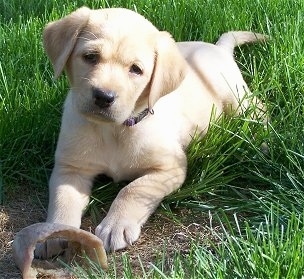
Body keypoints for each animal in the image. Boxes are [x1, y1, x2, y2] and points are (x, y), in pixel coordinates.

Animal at [38, 6, 266, 256]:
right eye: (91, 57)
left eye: (136, 69)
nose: (103, 97)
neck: (114, 130)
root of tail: (217, 48)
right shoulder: (70, 168)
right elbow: (63, 199)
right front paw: (53, 233)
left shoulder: (171, 168)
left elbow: (133, 189)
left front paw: (116, 225)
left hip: (235, 96)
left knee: (258, 108)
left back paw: (264, 141)